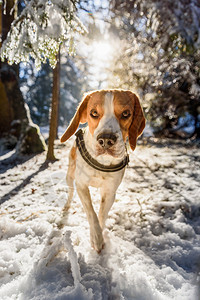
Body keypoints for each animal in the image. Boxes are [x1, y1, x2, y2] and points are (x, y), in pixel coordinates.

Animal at [60, 89, 145, 253]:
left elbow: (101, 215)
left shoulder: (110, 191)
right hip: (69, 176)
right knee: (70, 191)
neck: (103, 163)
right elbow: (91, 212)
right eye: (93, 113)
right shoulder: (81, 186)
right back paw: (67, 205)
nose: (106, 140)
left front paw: (100, 234)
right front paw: (96, 238)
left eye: (126, 113)